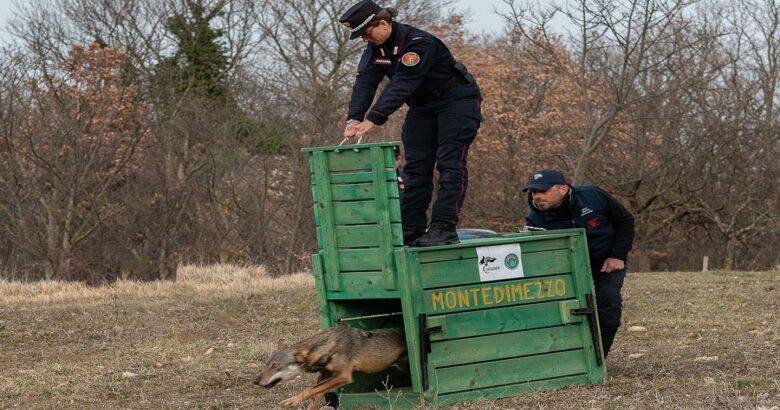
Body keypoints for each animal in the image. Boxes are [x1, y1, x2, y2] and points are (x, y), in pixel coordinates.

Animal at [253, 326, 407, 410]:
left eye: (275, 365)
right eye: (267, 364)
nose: (255, 381)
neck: (326, 346)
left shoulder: (343, 376)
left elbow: (310, 389)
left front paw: (292, 400)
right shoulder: (324, 375)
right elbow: (316, 397)